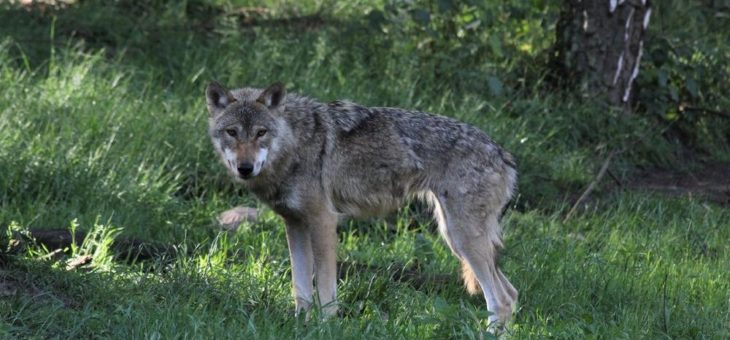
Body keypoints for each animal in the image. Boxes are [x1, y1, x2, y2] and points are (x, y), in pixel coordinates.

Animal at [205, 81, 516, 328]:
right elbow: (300, 289)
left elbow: (326, 291)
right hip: (455, 237)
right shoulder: (294, 224)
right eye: (232, 132)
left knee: (501, 300)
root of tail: (503, 154)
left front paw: (325, 327)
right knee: (511, 295)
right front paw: (299, 325)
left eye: (261, 132)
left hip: (461, 239)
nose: (245, 168)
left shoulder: (323, 221)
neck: (294, 145)